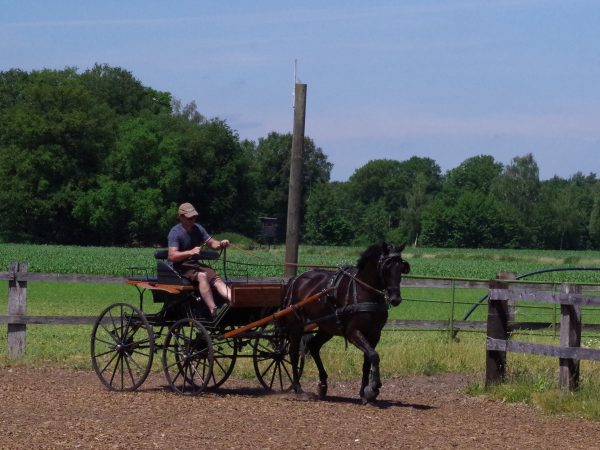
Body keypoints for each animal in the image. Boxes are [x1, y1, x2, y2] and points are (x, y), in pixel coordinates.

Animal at [281, 242, 410, 404]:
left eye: (401, 267)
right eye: (386, 267)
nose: (395, 299)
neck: (364, 291)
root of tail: (296, 279)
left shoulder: (375, 334)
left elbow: (368, 360)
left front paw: (364, 393)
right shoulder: (353, 332)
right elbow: (374, 356)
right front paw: (374, 387)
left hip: (326, 328)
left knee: (314, 346)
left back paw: (323, 384)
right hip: (296, 326)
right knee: (293, 353)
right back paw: (298, 389)